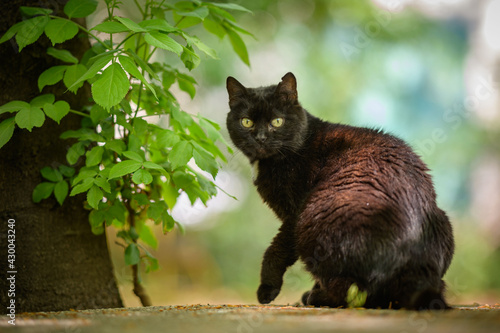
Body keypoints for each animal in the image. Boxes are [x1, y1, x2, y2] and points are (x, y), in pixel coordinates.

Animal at [229, 72, 456, 308]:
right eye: (246, 122)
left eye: (277, 121)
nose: (261, 138)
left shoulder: (294, 215)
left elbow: (276, 250)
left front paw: (267, 289)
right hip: (444, 222)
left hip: (311, 218)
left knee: (354, 293)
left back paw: (317, 297)